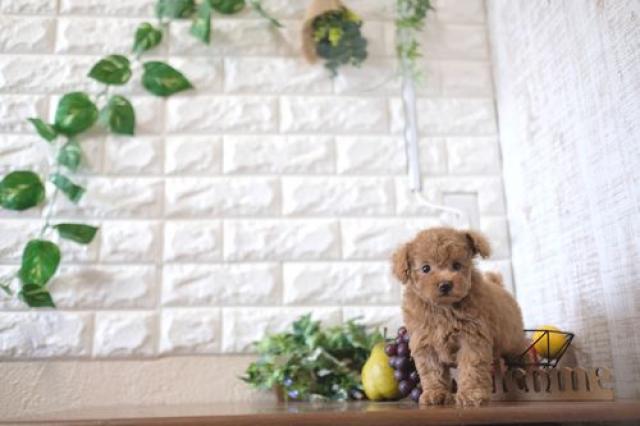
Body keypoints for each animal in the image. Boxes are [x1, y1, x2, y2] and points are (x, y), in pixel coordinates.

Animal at [392, 227, 525, 407]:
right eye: (426, 268)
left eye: (456, 265)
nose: (445, 284)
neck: (444, 309)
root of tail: (498, 285)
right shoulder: (425, 344)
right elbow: (432, 372)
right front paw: (435, 393)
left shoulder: (472, 339)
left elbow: (471, 368)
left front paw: (471, 394)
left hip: (512, 340)